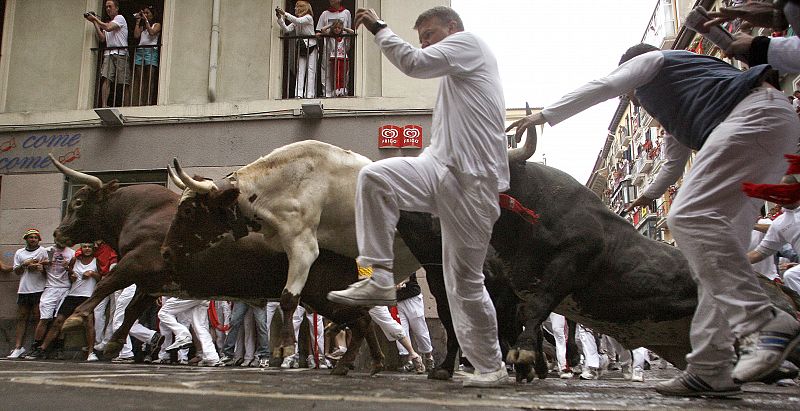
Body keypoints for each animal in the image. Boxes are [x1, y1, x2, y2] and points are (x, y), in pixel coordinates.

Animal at [47, 156, 388, 374]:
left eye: (78, 203)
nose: (58, 232)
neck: (138, 213)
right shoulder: (152, 283)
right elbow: (130, 311)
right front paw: (113, 344)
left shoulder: (135, 264)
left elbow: (106, 285)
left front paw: (75, 318)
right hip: (323, 298)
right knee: (363, 320)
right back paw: (364, 363)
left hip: (320, 294)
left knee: (360, 321)